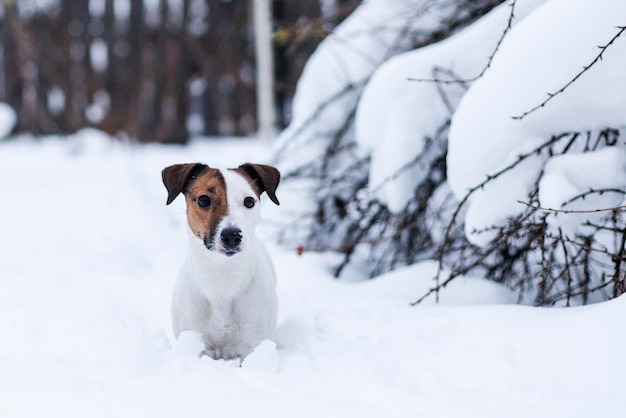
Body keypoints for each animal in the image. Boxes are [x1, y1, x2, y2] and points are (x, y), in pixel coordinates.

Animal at [161, 162, 280, 360]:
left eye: (249, 201)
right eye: (203, 200)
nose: (232, 235)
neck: (222, 276)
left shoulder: (252, 343)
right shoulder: (195, 339)